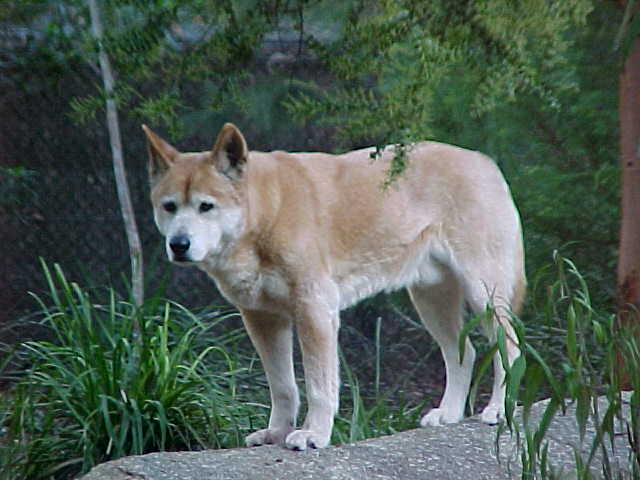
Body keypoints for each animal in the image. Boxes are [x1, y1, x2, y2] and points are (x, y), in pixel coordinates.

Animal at [143, 122, 525, 451]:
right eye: (169, 207)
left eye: (206, 206)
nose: (178, 244)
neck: (268, 213)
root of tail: (484, 161)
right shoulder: (262, 319)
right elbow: (282, 386)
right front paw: (277, 432)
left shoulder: (314, 309)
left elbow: (318, 385)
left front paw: (313, 434)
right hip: (431, 300)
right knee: (465, 354)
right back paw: (449, 413)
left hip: (482, 293)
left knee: (509, 348)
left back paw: (498, 409)